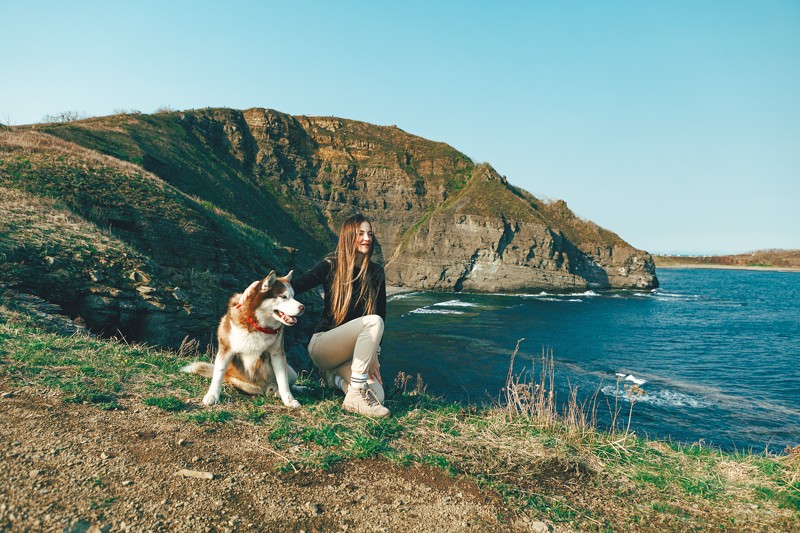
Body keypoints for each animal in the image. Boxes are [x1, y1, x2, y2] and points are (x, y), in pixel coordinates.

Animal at [183, 272, 304, 406]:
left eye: (293, 296)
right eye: (283, 297)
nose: (302, 307)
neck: (259, 326)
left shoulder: (277, 354)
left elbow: (284, 382)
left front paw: (290, 400)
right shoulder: (226, 350)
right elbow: (218, 375)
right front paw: (212, 396)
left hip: (292, 372)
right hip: (242, 382)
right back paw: (271, 389)